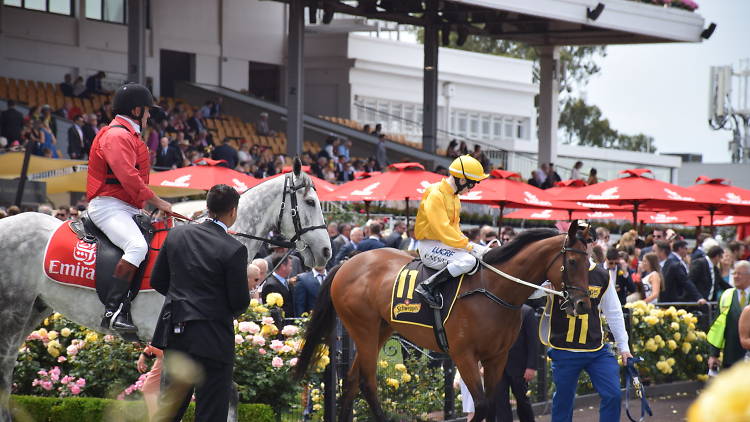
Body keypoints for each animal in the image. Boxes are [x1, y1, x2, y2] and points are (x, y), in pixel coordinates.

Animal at [296, 223, 592, 420]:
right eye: (573, 261)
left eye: (589, 261)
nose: (583, 304)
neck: (493, 289)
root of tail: (346, 264)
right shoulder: (464, 355)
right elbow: (482, 406)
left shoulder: (497, 357)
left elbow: (492, 404)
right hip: (363, 329)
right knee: (367, 383)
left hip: (381, 329)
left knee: (351, 381)